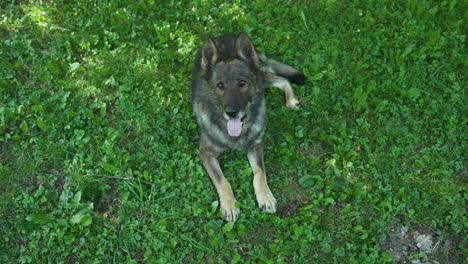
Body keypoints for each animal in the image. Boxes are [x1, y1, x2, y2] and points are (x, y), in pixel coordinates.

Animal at [190, 32, 308, 221]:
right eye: (220, 85)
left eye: (242, 83)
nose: (231, 112)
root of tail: (226, 34)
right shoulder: (206, 153)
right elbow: (222, 181)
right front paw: (229, 205)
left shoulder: (255, 146)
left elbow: (260, 173)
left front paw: (265, 197)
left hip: (261, 78)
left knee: (281, 79)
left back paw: (291, 100)